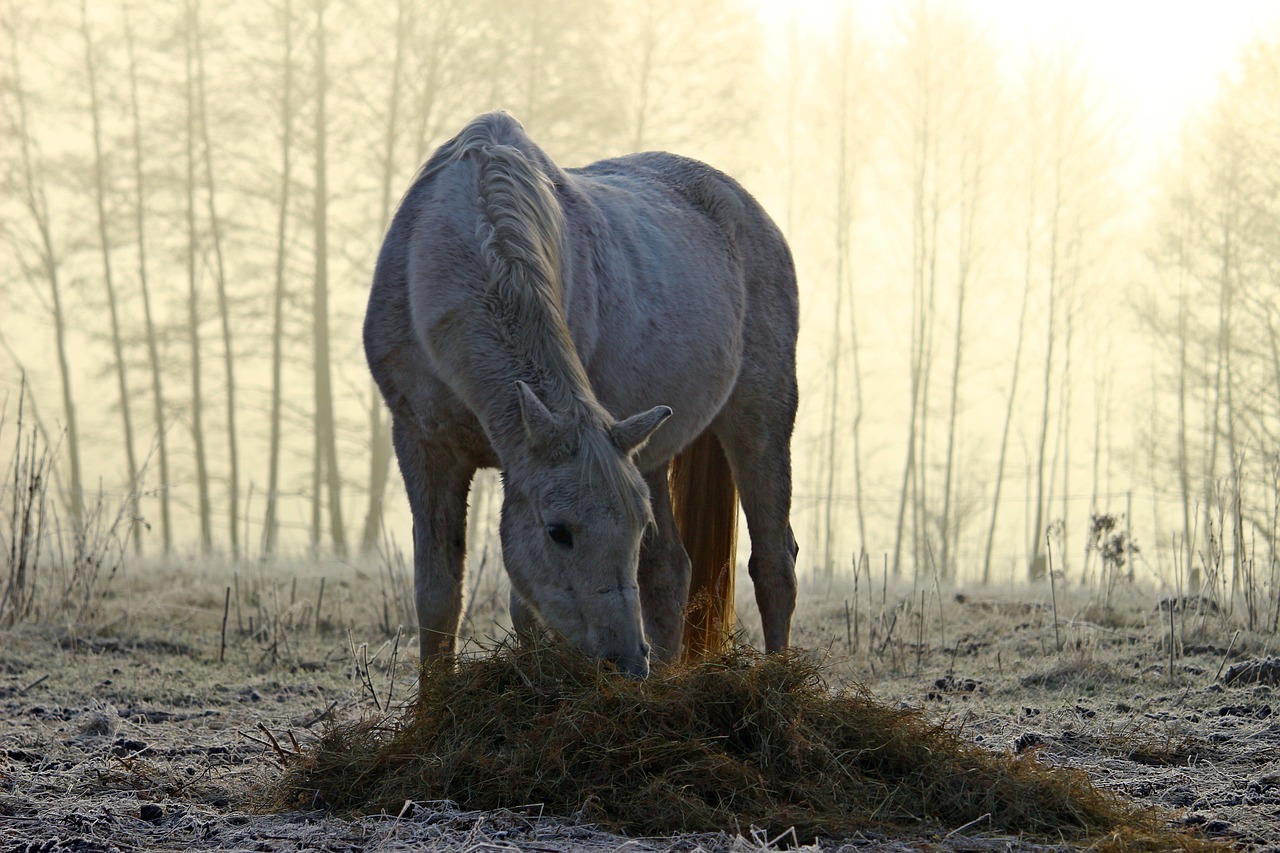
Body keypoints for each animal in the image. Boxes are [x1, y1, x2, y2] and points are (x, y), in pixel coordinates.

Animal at [366, 111, 793, 676]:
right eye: (559, 532)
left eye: (635, 527)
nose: (627, 662)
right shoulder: (423, 445)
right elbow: (437, 600)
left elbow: (525, 611)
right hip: (649, 450)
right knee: (670, 572)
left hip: (762, 420)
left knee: (774, 564)